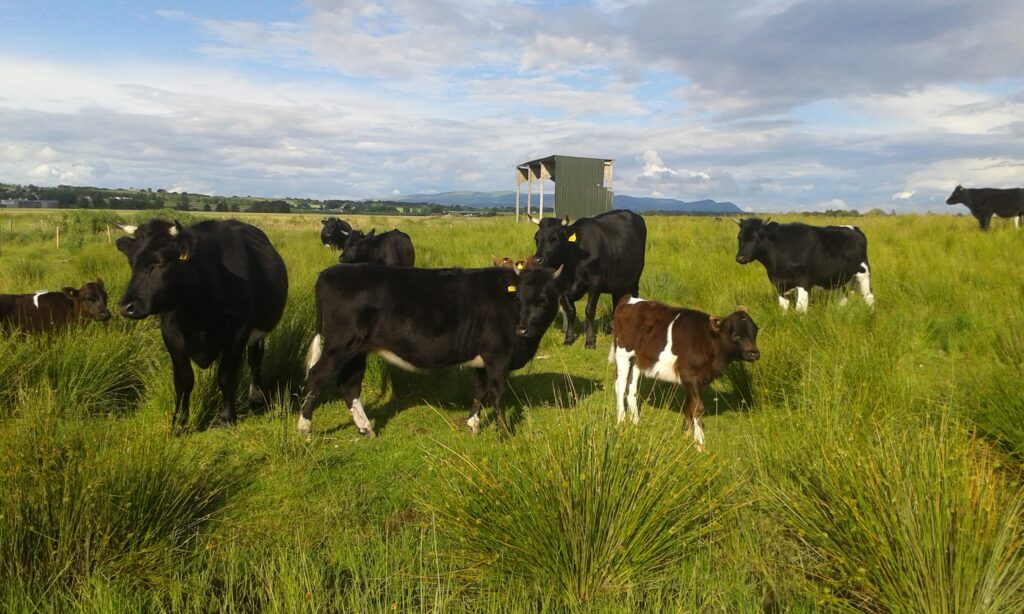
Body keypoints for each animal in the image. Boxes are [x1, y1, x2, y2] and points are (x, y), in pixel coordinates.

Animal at [116, 219, 288, 431]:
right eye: (131, 262)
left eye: (160, 262)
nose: (126, 307)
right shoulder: (171, 334)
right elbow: (183, 380)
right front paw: (179, 422)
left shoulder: (239, 333)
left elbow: (226, 376)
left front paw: (227, 417)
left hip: (257, 334)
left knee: (255, 360)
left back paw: (255, 396)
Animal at [298, 263, 563, 436]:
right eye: (518, 298)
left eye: (544, 299)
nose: (522, 330)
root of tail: (330, 271)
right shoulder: (498, 357)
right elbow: (498, 394)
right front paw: (504, 433)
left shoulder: (483, 358)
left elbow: (479, 391)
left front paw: (473, 426)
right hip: (339, 345)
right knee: (317, 377)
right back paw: (304, 428)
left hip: (358, 349)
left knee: (349, 384)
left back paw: (367, 428)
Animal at [530, 209, 647, 349]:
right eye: (536, 238)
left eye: (555, 239)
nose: (537, 260)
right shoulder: (563, 287)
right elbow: (570, 311)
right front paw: (569, 338)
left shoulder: (595, 284)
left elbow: (589, 311)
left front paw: (590, 341)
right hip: (617, 280)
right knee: (616, 300)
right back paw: (612, 326)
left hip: (635, 278)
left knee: (634, 295)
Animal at [611, 297, 760, 451]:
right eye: (736, 335)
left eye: (755, 331)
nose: (754, 354)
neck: (707, 341)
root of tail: (629, 299)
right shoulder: (690, 375)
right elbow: (698, 408)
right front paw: (700, 444)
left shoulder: (698, 380)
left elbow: (689, 405)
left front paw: (686, 435)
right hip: (622, 353)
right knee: (620, 385)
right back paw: (621, 420)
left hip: (637, 359)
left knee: (631, 388)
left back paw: (635, 422)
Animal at [734, 218, 874, 313]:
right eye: (739, 237)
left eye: (756, 237)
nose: (740, 258)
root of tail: (856, 229)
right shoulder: (780, 283)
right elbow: (783, 308)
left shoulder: (804, 281)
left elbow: (800, 308)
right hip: (843, 278)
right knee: (843, 297)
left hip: (863, 272)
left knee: (869, 296)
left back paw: (871, 314)